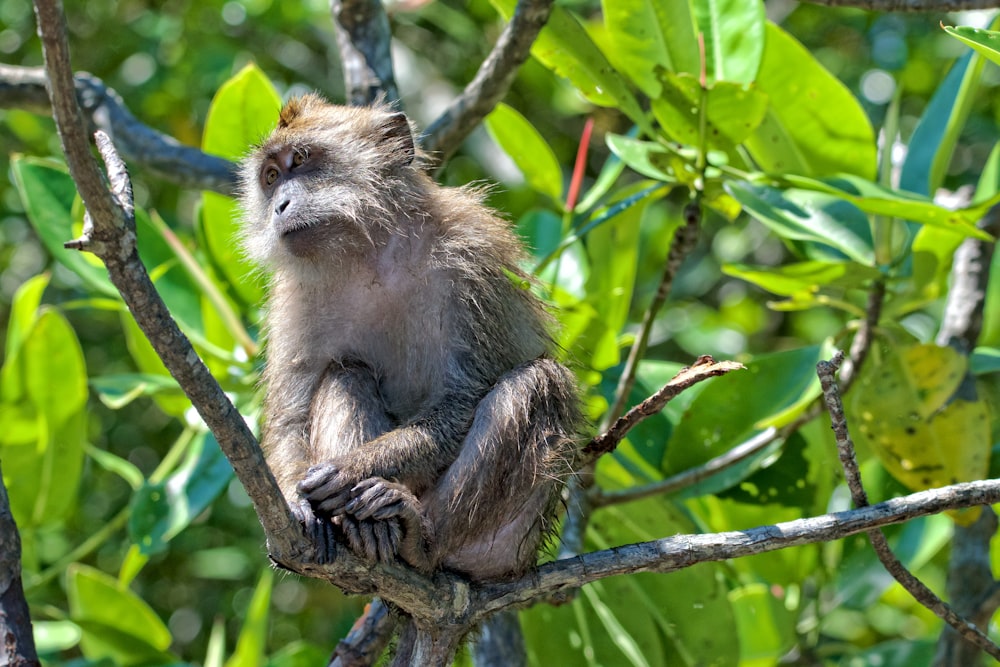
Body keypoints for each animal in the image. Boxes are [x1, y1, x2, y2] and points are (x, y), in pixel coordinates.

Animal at [239, 95, 584, 584]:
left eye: (301, 161)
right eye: (270, 178)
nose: (280, 205)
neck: (371, 253)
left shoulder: (470, 254)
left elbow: (463, 398)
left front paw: (350, 469)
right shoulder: (293, 296)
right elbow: (290, 417)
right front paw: (296, 499)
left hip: (512, 540)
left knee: (540, 385)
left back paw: (421, 539)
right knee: (345, 373)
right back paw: (364, 527)